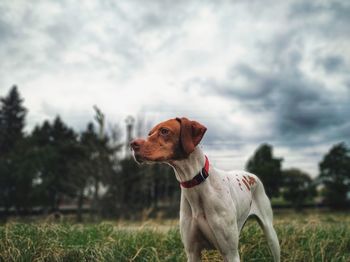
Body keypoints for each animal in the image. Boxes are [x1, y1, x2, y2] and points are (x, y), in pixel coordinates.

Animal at [130, 117, 280, 260]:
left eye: (164, 131)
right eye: (149, 133)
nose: (133, 144)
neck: (196, 185)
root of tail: (251, 175)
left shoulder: (230, 253)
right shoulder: (192, 253)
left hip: (271, 235)